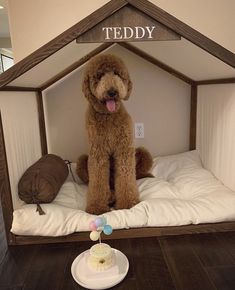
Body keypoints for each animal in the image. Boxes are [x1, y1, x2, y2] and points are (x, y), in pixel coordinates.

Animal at [78, 53, 152, 215]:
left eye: (117, 74)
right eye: (99, 76)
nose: (112, 91)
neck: (108, 116)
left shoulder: (124, 150)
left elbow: (126, 179)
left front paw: (128, 203)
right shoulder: (98, 153)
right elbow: (97, 181)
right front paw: (97, 207)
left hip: (142, 153)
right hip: (82, 160)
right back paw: (110, 197)